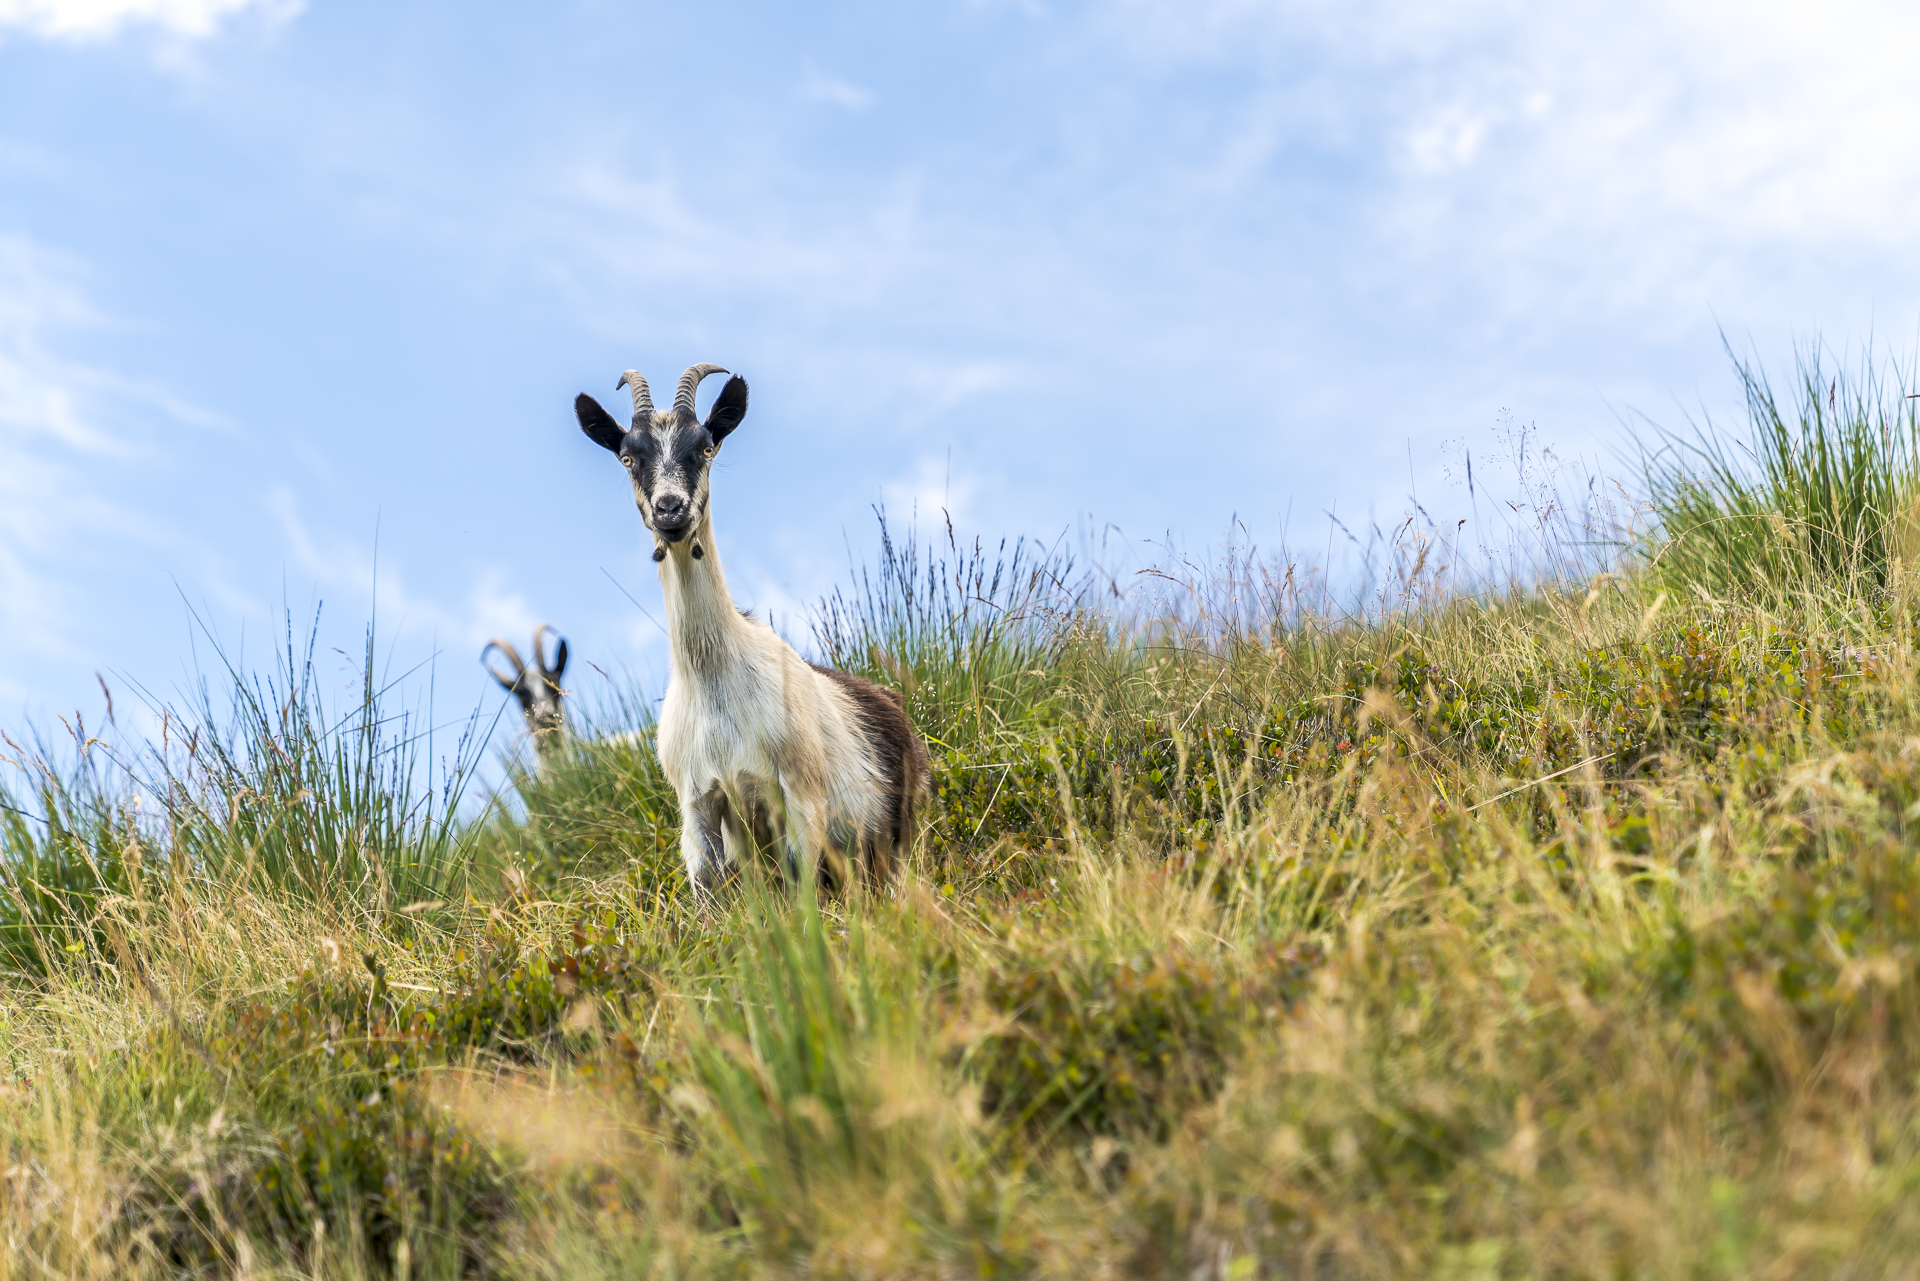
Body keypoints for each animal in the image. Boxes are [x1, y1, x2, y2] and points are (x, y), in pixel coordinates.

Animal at [575, 363, 929, 895]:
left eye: (705, 447)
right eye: (627, 457)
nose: (670, 510)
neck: (714, 678)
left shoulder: (799, 795)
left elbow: (801, 889)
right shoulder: (698, 807)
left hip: (893, 838)